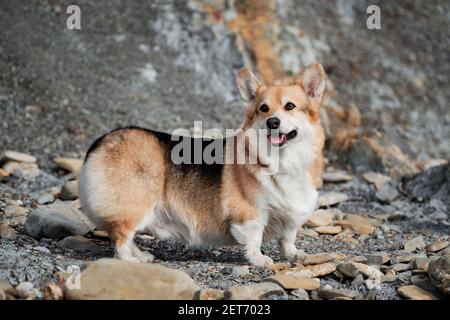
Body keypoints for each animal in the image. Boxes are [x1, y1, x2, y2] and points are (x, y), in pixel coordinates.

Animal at [79, 62, 326, 264]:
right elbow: (254, 239)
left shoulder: (291, 218)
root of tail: (102, 141)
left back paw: (141, 256)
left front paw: (293, 255)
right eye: (263, 109)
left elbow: (288, 237)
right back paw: (130, 260)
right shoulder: (251, 214)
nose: (272, 122)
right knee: (122, 236)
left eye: (290, 106)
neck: (282, 160)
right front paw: (259, 260)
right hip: (136, 205)